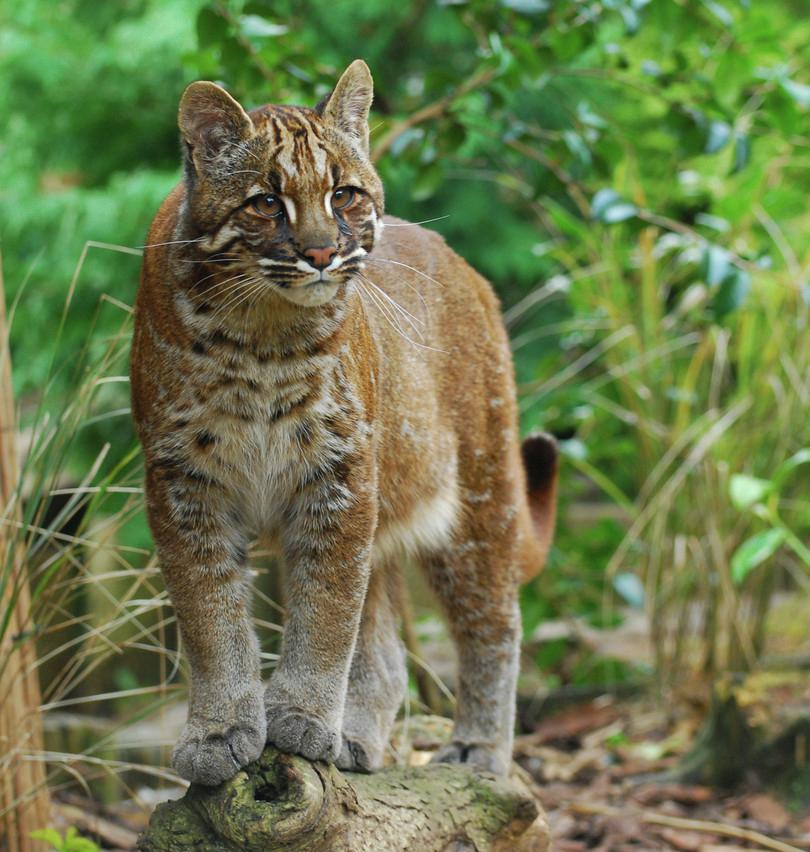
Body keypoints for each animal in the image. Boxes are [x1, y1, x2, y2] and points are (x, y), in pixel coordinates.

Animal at [131, 60, 556, 784]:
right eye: (265, 202)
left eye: (344, 195)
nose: (322, 254)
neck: (261, 334)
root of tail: (464, 264)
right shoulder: (184, 482)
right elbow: (210, 615)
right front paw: (221, 734)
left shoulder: (340, 476)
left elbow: (327, 613)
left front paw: (301, 719)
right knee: (388, 653)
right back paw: (358, 740)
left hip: (479, 499)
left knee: (494, 625)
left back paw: (478, 753)